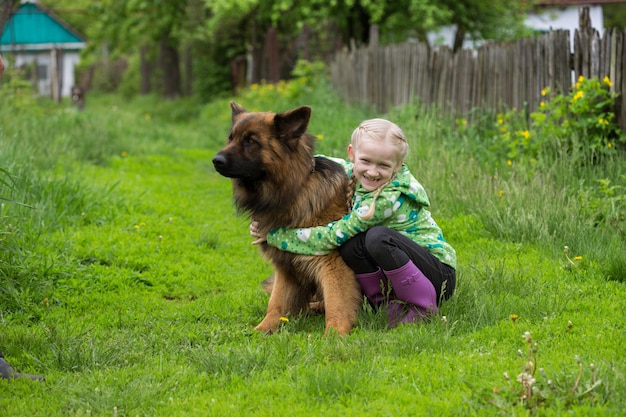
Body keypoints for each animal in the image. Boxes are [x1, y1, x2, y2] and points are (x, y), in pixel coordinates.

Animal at [212, 101, 360, 334]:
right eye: (231, 137)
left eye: (250, 141)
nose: (216, 161)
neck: (295, 189)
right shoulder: (286, 268)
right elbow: (276, 303)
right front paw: (262, 329)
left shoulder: (333, 264)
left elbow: (337, 303)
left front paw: (333, 335)